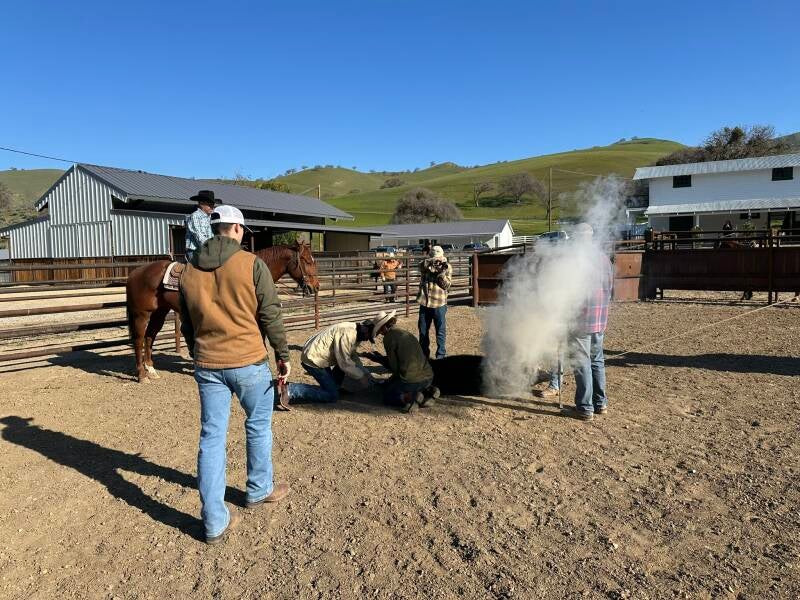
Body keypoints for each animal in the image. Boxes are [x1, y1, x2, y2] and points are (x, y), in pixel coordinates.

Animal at [125, 240, 319, 383]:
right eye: (307, 261)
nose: (315, 287)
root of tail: (136, 272)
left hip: (160, 312)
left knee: (150, 337)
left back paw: (151, 370)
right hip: (141, 314)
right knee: (139, 339)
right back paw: (142, 375)